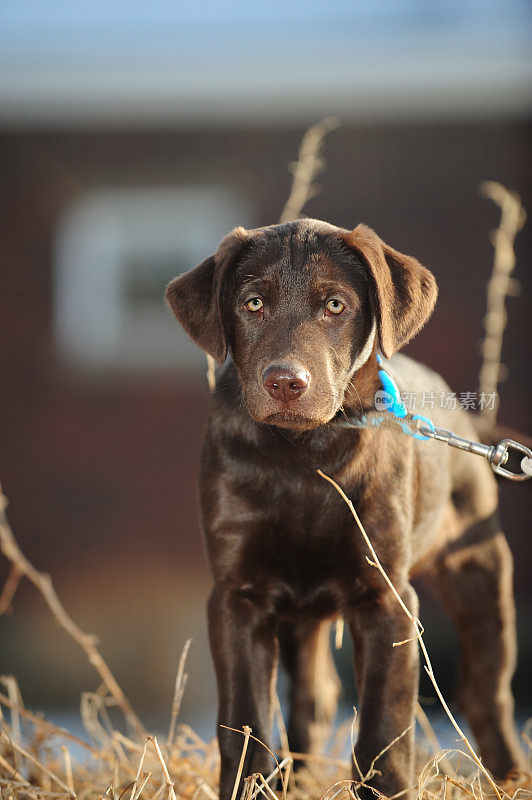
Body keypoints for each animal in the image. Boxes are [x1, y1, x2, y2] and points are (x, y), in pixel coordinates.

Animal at [165, 220, 524, 800]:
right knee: (313, 697)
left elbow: (383, 725)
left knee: (486, 690)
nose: (286, 383)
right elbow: (243, 718)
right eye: (252, 303)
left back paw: (510, 776)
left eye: (335, 305)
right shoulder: (238, 596)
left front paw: (388, 789)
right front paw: (251, 783)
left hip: (480, 567)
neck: (303, 453)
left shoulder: (387, 598)